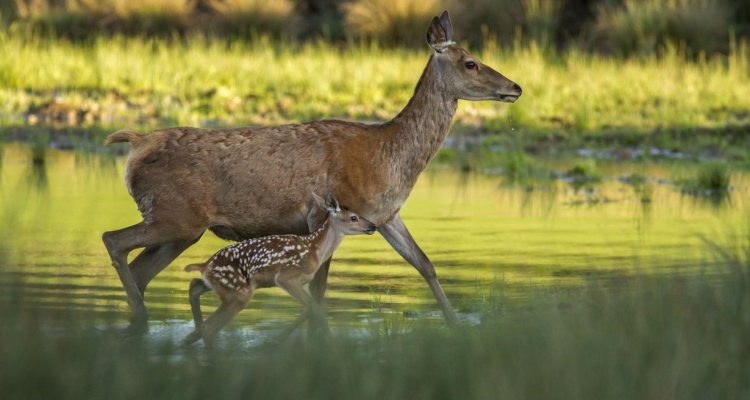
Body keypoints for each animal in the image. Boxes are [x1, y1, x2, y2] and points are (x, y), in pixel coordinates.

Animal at [180, 194, 378, 346]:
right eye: (354, 217)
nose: (373, 226)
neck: (315, 249)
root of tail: (206, 264)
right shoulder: (286, 277)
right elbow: (315, 308)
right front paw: (332, 343)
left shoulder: (302, 281)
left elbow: (310, 308)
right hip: (238, 292)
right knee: (210, 327)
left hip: (222, 286)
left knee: (195, 286)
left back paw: (189, 339)